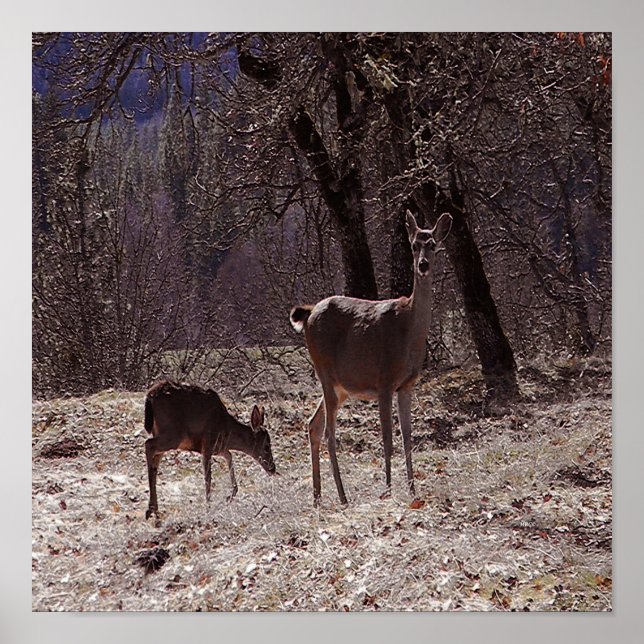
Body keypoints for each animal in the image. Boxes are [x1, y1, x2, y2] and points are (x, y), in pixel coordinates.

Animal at [143, 380, 277, 521]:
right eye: (267, 446)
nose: (272, 468)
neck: (226, 428)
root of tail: (150, 395)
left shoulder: (219, 448)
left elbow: (229, 456)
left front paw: (229, 496)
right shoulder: (207, 444)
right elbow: (208, 478)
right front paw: (208, 508)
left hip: (162, 434)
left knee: (155, 458)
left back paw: (153, 508)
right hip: (172, 434)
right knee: (148, 445)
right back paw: (151, 509)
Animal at [290, 210, 452, 506]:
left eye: (433, 244)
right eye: (414, 245)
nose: (423, 265)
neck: (409, 331)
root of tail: (307, 315)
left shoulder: (407, 385)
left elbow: (407, 438)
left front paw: (413, 490)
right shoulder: (384, 380)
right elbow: (387, 439)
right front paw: (387, 489)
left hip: (340, 386)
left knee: (313, 425)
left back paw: (317, 497)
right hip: (324, 370)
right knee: (329, 433)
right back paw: (342, 496)